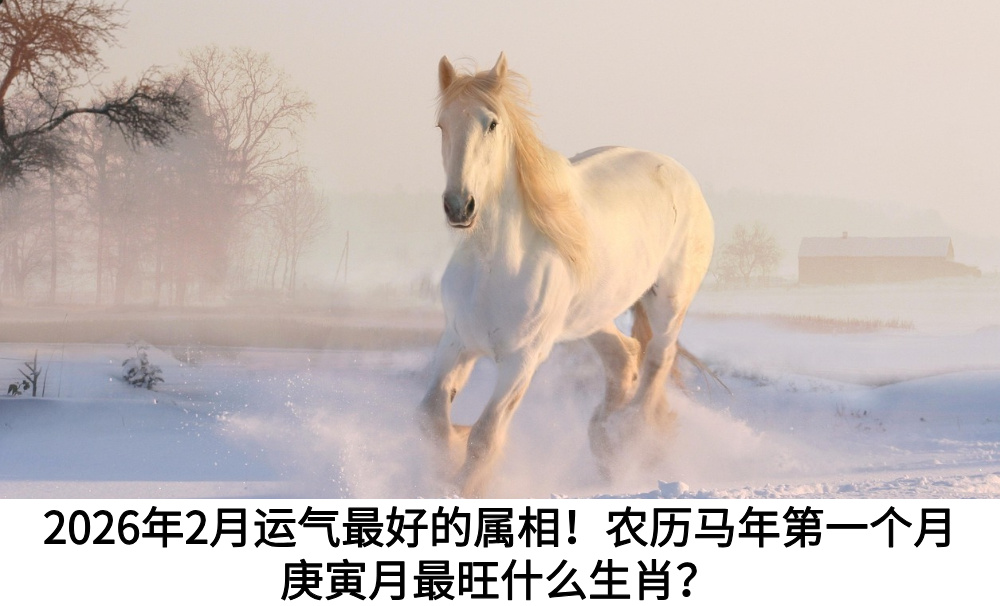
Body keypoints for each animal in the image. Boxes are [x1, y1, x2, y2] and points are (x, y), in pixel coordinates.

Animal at [420, 53, 714, 497]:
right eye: (442, 124)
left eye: (492, 123)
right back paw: (605, 442)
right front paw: (449, 454)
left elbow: (485, 437)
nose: (459, 206)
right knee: (624, 357)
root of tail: (682, 176)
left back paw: (631, 438)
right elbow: (432, 418)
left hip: (668, 302)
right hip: (591, 316)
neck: (494, 266)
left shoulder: (522, 360)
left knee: (657, 361)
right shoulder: (457, 342)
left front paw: (465, 483)